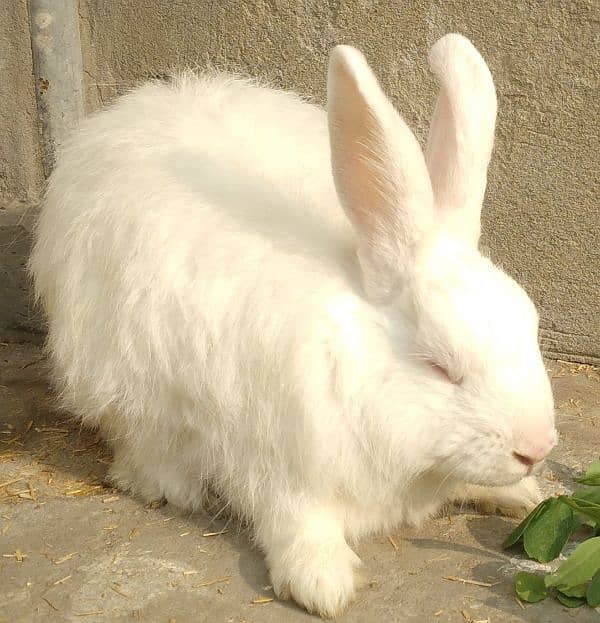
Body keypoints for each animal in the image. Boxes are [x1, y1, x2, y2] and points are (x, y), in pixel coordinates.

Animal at [28, 33, 556, 616]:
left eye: (528, 327)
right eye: (440, 366)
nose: (538, 447)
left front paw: (520, 495)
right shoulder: (281, 467)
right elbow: (299, 524)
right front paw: (324, 584)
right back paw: (163, 483)